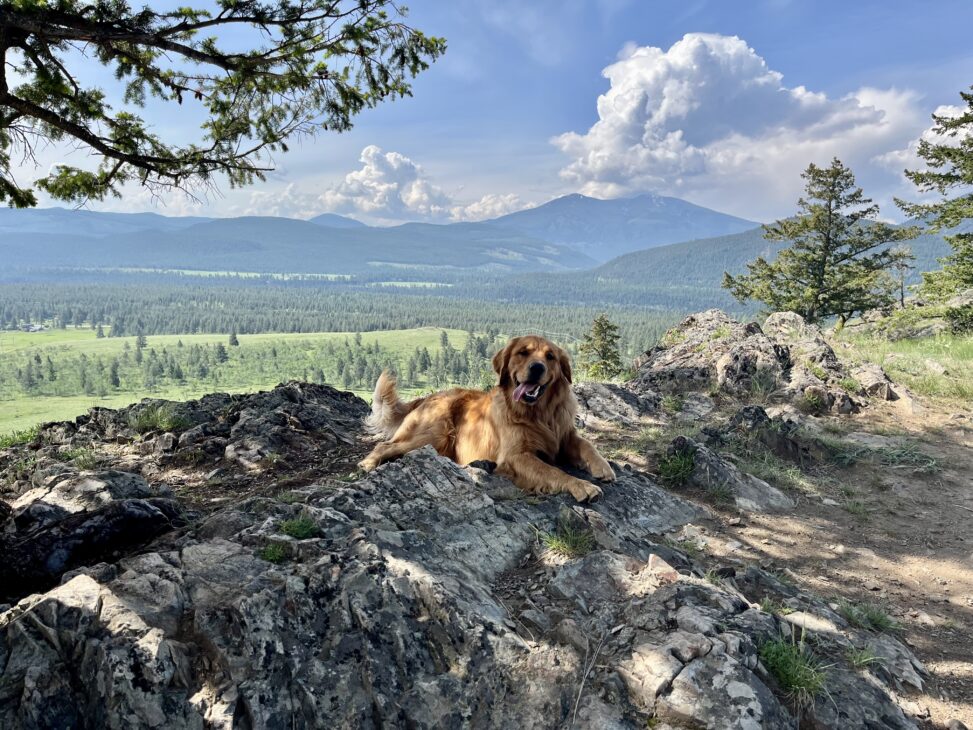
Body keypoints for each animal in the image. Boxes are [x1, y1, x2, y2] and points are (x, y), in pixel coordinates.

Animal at [356, 334, 616, 500]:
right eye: (523, 353)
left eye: (550, 356)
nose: (537, 368)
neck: (539, 413)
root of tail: (427, 397)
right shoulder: (515, 456)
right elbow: (554, 471)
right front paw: (581, 485)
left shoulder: (563, 434)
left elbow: (587, 444)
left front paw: (603, 467)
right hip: (435, 433)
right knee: (384, 445)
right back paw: (367, 464)